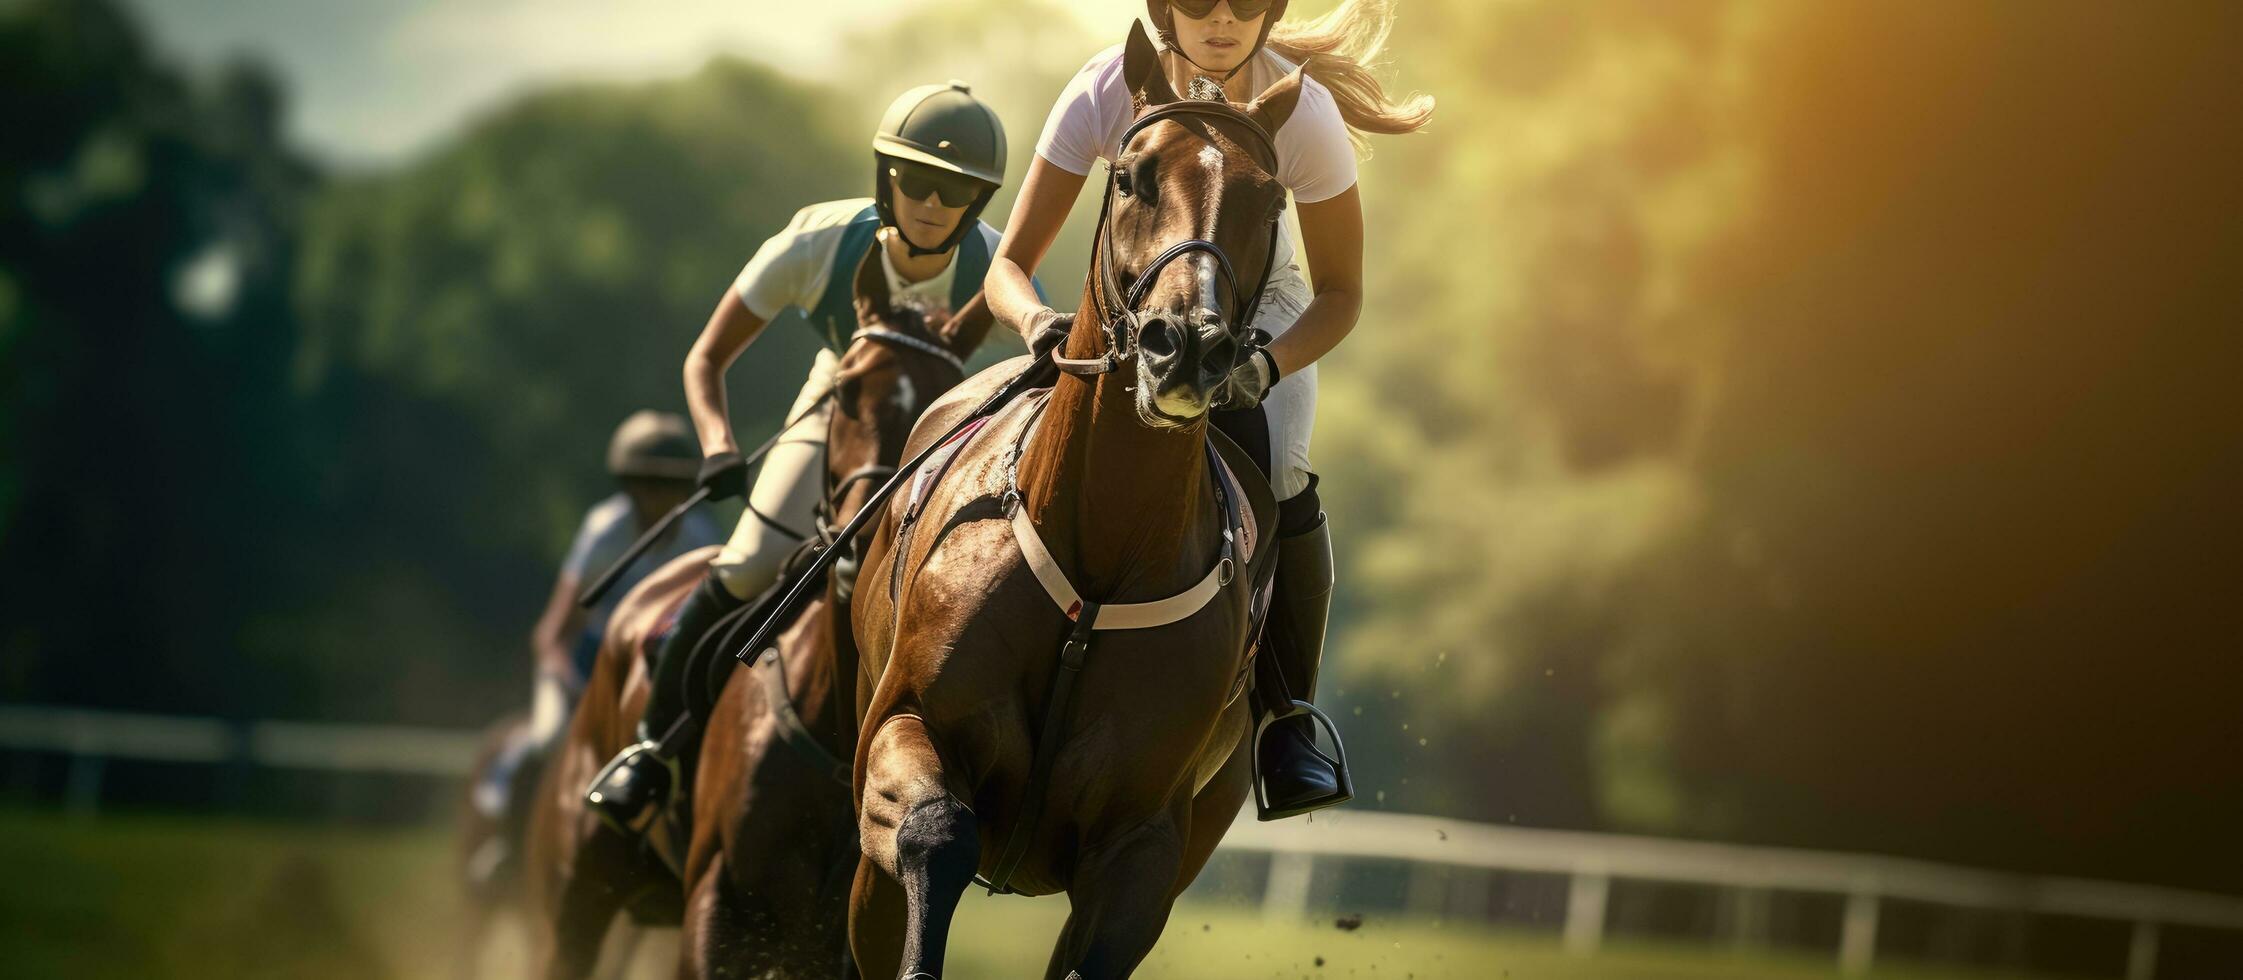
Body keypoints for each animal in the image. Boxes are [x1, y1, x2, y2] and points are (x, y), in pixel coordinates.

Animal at [529, 252, 986, 977]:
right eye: (846, 391)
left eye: (949, 403)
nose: (863, 539)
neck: (833, 719)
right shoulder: (717, 907)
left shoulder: (831, 941)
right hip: (576, 879)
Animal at [843, 28, 1300, 977]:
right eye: (1130, 176)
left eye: (1268, 196)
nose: (1185, 346)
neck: (1102, 547)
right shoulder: (904, 728)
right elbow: (936, 830)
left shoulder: (1143, 844)